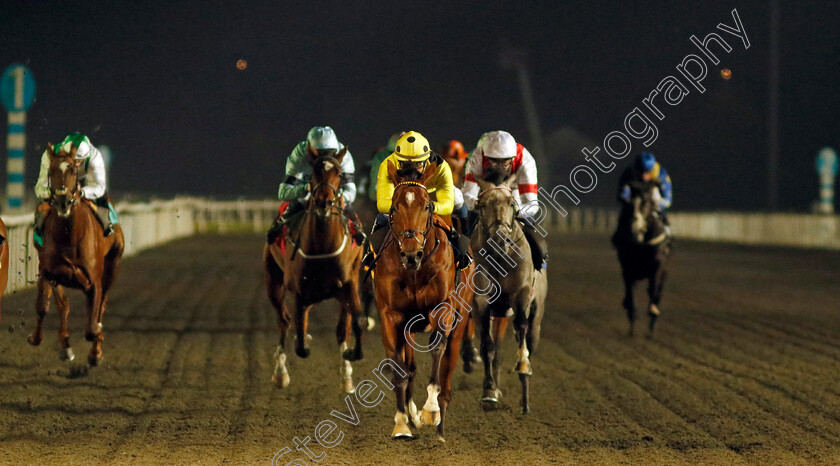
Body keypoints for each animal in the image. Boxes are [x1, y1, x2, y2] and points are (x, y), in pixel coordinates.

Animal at [28, 146, 125, 364]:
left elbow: (92, 327)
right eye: (51, 171)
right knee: (65, 306)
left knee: (100, 306)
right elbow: (44, 306)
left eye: (73, 170)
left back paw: (95, 351)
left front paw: (96, 346)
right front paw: (37, 338)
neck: (69, 238)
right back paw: (66, 346)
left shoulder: (94, 281)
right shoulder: (49, 272)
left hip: (112, 267)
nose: (63, 202)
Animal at [264, 148, 366, 394]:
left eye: (339, 174)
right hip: (274, 281)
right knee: (284, 321)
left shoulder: (348, 285)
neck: (322, 245)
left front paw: (350, 359)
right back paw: (280, 373)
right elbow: (300, 343)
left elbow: (354, 323)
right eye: (313, 173)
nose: (324, 201)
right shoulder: (299, 291)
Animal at [372, 160, 472, 440]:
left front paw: (430, 410)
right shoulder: (392, 315)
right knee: (410, 367)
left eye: (427, 205)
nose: (411, 255)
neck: (415, 271)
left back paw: (440, 426)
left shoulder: (442, 307)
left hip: (460, 320)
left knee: (448, 363)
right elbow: (398, 365)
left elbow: (438, 349)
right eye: (394, 206)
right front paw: (402, 423)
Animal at [470, 176, 548, 416]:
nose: (499, 240)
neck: (500, 259)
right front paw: (489, 390)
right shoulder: (481, 303)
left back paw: (525, 397)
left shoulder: (521, 295)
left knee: (531, 337)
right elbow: (487, 345)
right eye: (482, 205)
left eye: (512, 202)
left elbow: (521, 328)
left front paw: (522, 365)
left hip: (537, 313)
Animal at [612, 180, 668, 336]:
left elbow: (654, 290)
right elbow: (630, 294)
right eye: (630, 203)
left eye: (646, 202)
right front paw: (632, 322)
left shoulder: (658, 265)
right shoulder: (628, 268)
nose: (634, 224)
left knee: (657, 288)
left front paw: (652, 312)